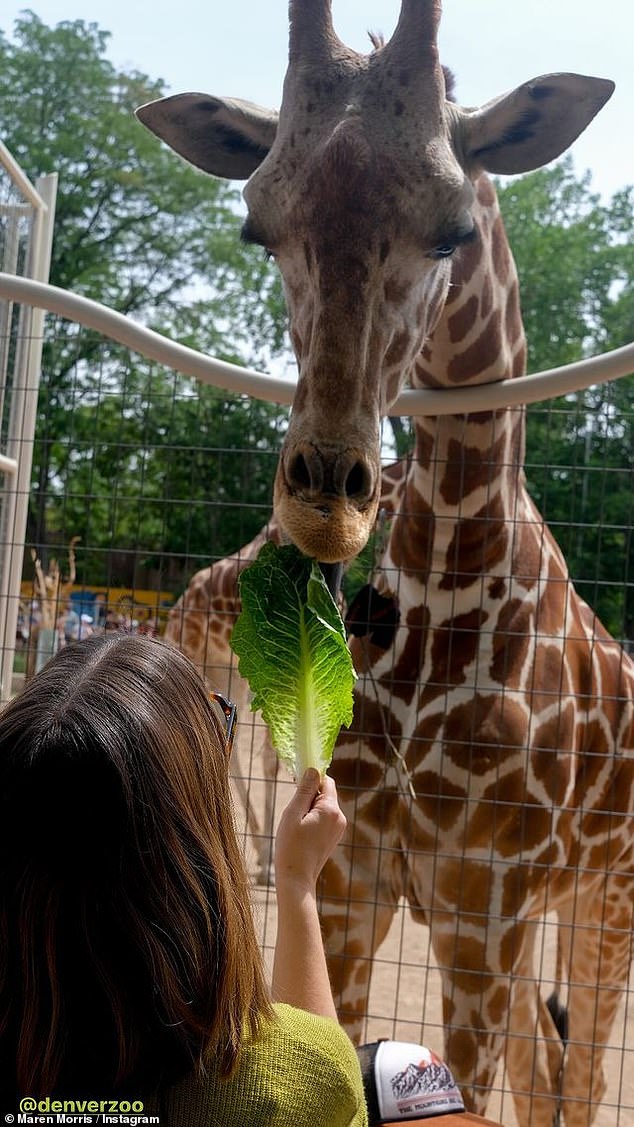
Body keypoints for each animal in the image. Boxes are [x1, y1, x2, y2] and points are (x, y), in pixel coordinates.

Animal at [132, 4, 630, 1122]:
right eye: (258, 226)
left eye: (452, 227)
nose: (328, 496)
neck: (452, 581)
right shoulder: (357, 882)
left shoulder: (485, 906)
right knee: (549, 1065)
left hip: (605, 897)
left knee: (578, 1071)